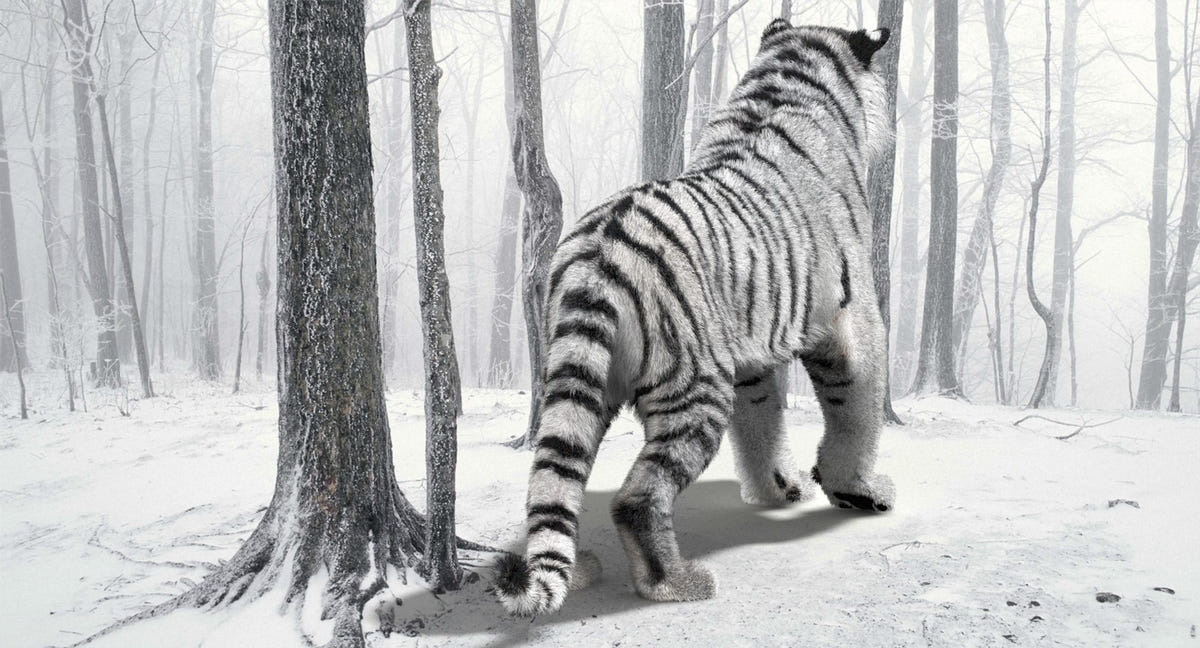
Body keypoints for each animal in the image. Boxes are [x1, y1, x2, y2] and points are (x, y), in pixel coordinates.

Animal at [495, 19, 896, 616]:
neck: (790, 82)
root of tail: (599, 251)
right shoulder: (851, 325)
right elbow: (856, 413)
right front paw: (860, 490)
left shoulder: (753, 354)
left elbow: (761, 424)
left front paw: (778, 488)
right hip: (694, 388)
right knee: (636, 498)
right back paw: (677, 583)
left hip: (573, 378)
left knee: (551, 479)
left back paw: (579, 569)